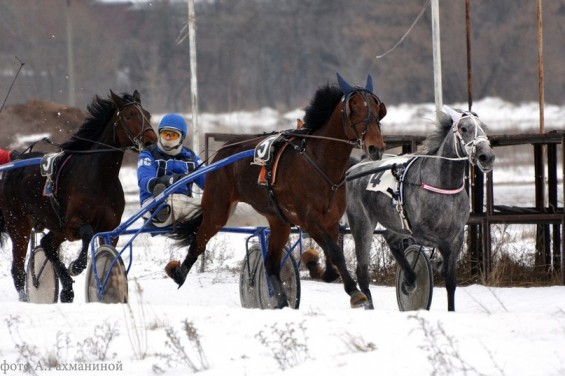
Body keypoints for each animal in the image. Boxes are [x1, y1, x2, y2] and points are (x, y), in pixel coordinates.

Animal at [0, 91, 156, 302]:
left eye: (147, 114)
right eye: (129, 115)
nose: (151, 140)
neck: (100, 178)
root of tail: (13, 164)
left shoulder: (110, 228)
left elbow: (108, 253)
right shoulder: (72, 224)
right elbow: (88, 233)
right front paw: (76, 266)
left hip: (53, 226)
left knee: (46, 244)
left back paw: (66, 290)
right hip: (18, 225)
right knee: (18, 269)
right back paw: (29, 297)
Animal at [169, 74, 388, 308]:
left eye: (377, 108)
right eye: (353, 107)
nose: (375, 147)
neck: (319, 163)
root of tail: (223, 151)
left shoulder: (331, 221)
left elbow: (333, 258)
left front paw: (331, 276)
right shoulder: (309, 220)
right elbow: (336, 253)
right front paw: (355, 292)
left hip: (278, 221)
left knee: (271, 264)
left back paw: (281, 301)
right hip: (217, 208)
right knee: (199, 240)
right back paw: (179, 273)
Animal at [344, 106, 494, 312]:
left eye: (484, 128)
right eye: (464, 128)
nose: (487, 157)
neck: (443, 185)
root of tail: (355, 168)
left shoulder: (457, 235)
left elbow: (451, 280)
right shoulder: (421, 232)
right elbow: (442, 249)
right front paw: (438, 263)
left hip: (396, 224)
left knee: (391, 240)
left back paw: (409, 278)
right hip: (362, 224)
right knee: (362, 270)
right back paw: (370, 304)